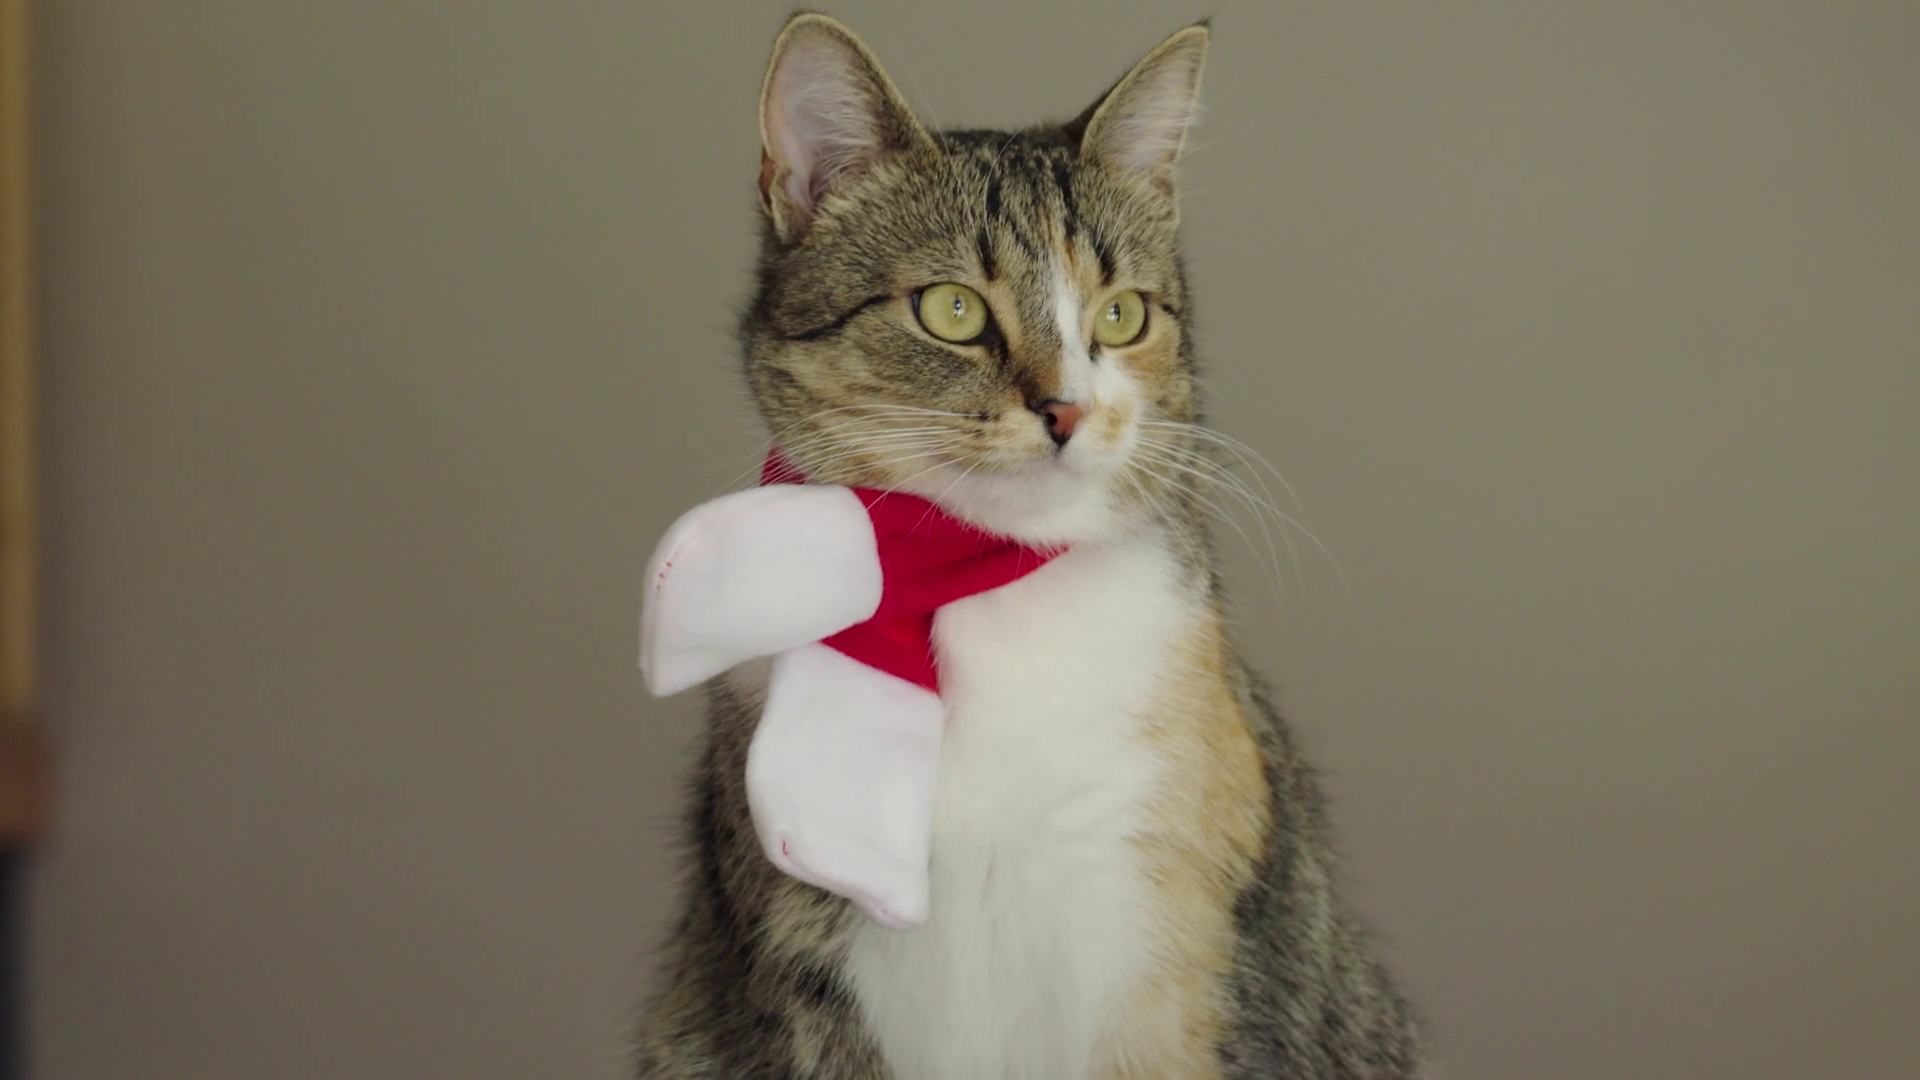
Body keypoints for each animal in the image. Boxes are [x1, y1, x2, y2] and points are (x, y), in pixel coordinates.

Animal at [635, 13, 1426, 1079]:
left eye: (1121, 315)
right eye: (952, 310)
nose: (1068, 408)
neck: (981, 591)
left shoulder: (1181, 946)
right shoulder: (808, 977)